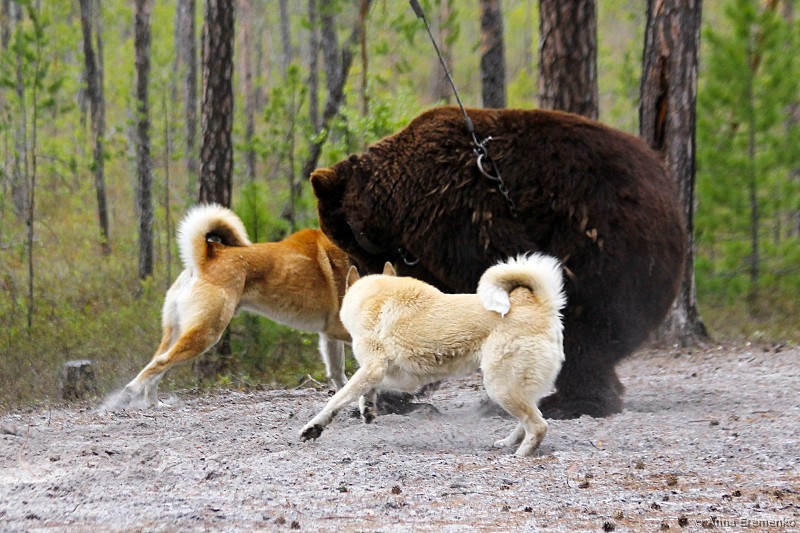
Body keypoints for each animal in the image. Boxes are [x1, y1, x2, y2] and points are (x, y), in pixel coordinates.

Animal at [110, 204, 352, 409]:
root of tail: (207, 257)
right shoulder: (342, 331)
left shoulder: (330, 335)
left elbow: (338, 373)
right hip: (206, 334)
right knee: (160, 363)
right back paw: (128, 394)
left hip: (179, 332)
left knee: (157, 362)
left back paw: (153, 402)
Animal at [299, 253, 566, 456]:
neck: (376, 296)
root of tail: (539, 304)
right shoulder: (394, 376)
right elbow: (365, 390)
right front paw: (368, 408)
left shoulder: (375, 368)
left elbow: (337, 399)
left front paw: (314, 428)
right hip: (517, 387)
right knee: (530, 420)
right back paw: (508, 443)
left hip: (500, 386)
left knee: (538, 426)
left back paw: (519, 455)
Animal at [310, 106, 686, 419]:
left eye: (351, 247)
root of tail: (667, 188)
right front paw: (395, 394)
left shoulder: (458, 214)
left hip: (605, 244)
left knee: (584, 328)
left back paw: (569, 402)